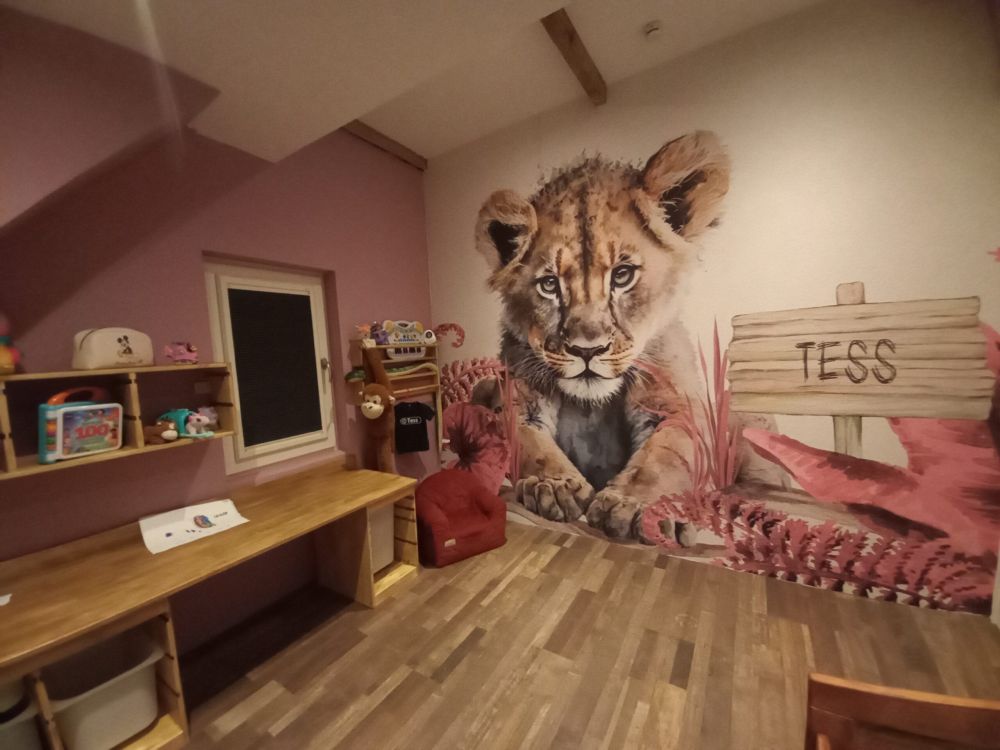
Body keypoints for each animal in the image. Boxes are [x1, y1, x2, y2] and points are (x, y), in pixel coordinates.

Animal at [473, 131, 781, 542]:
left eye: (622, 275)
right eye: (549, 285)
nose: (587, 349)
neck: (591, 405)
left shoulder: (674, 406)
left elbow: (664, 456)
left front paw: (635, 505)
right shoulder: (518, 401)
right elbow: (528, 443)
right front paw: (555, 486)